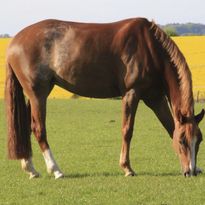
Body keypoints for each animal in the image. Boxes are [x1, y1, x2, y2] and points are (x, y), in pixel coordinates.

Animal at [4, 17, 203, 179]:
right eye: (183, 141)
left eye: (199, 140)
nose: (190, 171)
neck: (149, 47)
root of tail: (15, 42)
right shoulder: (131, 93)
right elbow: (127, 130)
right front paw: (127, 168)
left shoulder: (156, 98)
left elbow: (170, 128)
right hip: (38, 94)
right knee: (39, 129)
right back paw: (56, 170)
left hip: (33, 95)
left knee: (26, 128)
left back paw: (31, 169)